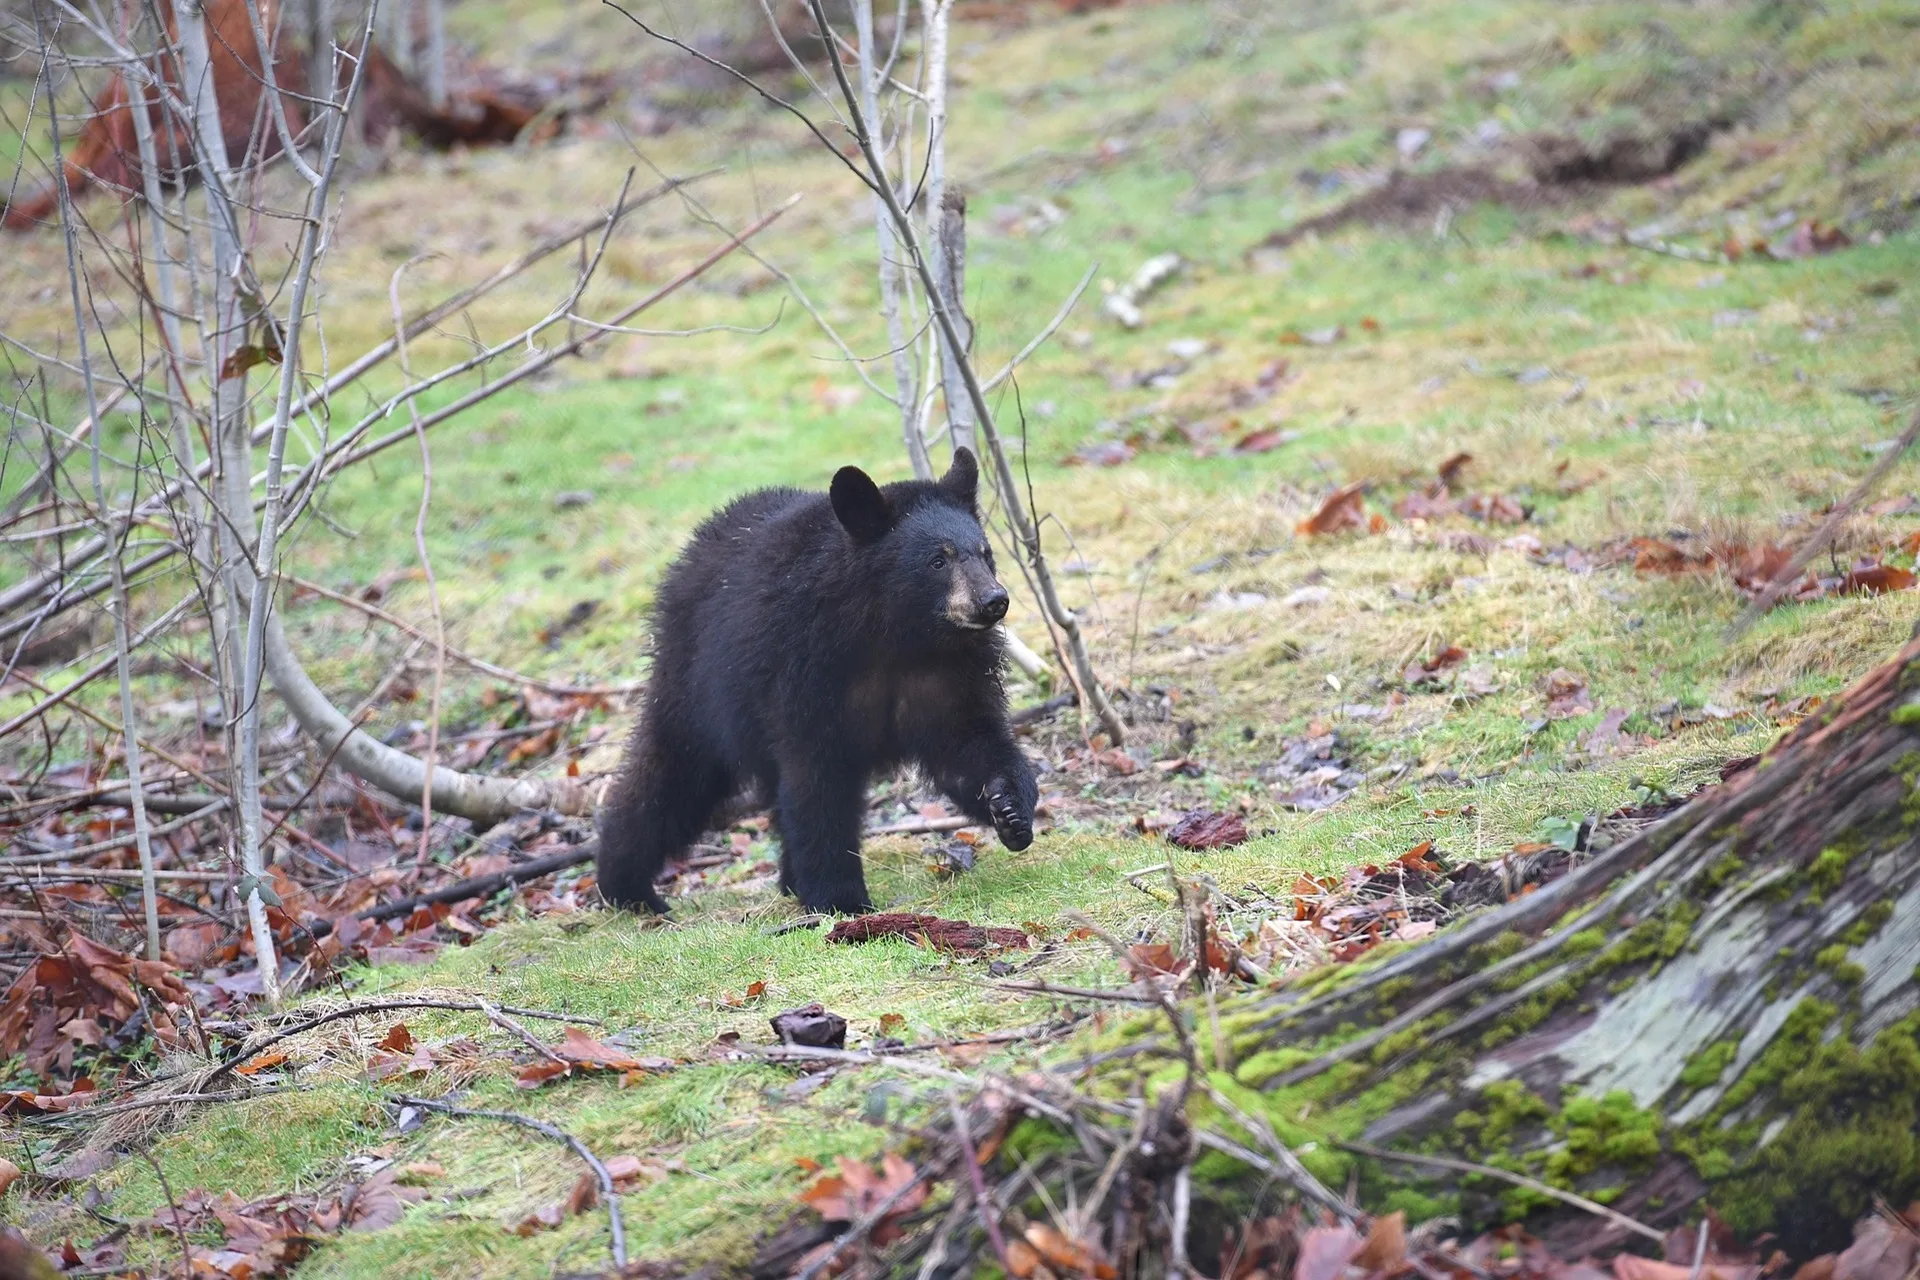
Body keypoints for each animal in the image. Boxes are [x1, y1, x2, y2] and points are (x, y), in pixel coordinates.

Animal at [595, 447, 1039, 915]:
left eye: (984, 552)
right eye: (938, 559)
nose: (994, 600)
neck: (895, 635)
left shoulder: (947, 674)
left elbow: (967, 742)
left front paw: (1009, 809)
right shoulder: (804, 673)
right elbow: (816, 782)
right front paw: (840, 899)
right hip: (696, 684)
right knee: (672, 777)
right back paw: (625, 885)